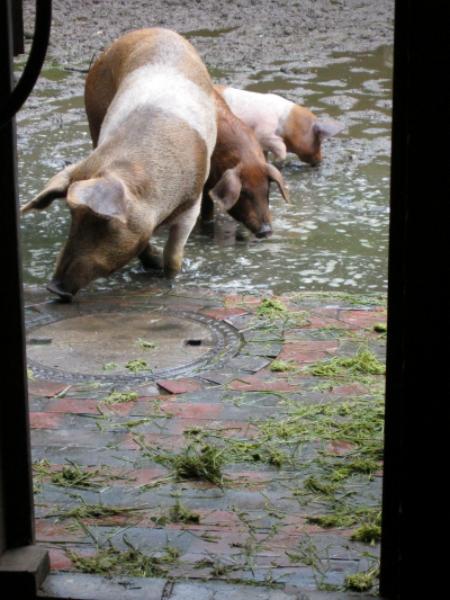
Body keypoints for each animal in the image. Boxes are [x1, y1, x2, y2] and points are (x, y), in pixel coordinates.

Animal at [21, 28, 217, 301]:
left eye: (105, 223)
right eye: (72, 215)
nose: (54, 288)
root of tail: (151, 30)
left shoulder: (191, 203)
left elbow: (174, 257)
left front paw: (168, 277)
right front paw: (152, 263)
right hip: (93, 108)